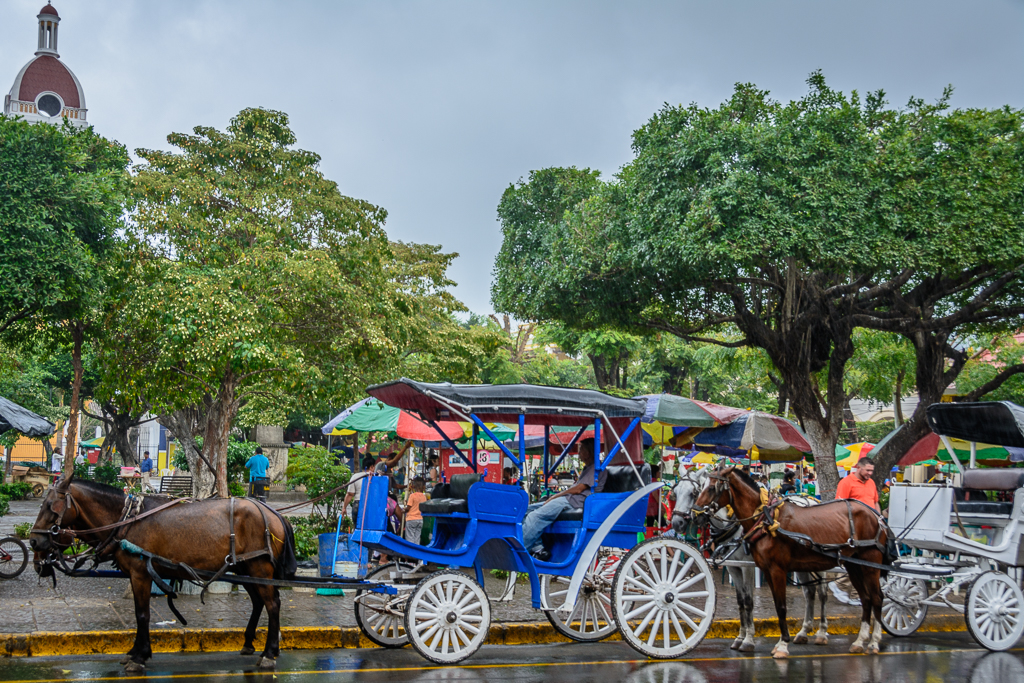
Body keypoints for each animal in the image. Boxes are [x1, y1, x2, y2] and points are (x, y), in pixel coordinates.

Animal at [30, 475, 296, 671]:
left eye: (50, 507)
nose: (33, 541)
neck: (126, 520)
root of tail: (274, 513)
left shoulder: (140, 573)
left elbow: (142, 614)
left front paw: (139, 656)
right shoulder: (136, 575)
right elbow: (139, 613)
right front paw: (135, 652)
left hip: (259, 566)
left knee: (272, 604)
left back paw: (269, 653)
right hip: (244, 567)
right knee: (258, 602)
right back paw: (249, 643)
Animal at [696, 464, 888, 655]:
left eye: (711, 488)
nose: (695, 514)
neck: (765, 519)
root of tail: (876, 516)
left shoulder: (771, 569)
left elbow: (777, 606)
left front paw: (780, 644)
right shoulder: (756, 568)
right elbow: (757, 603)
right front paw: (748, 638)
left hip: (869, 563)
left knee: (874, 597)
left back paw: (870, 641)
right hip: (851, 565)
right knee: (862, 598)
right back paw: (857, 640)